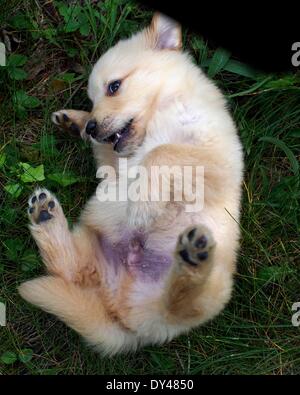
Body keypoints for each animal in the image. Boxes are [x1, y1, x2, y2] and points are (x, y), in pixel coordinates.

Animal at [18, 13, 243, 356]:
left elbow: (162, 153)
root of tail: (132, 327)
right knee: (72, 270)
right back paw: (45, 215)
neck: (159, 113)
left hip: (210, 293)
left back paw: (193, 257)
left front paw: (144, 203)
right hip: (93, 245)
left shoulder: (215, 161)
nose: (92, 126)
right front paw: (76, 122)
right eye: (92, 100)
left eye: (114, 86)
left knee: (181, 303)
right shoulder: (113, 170)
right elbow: (114, 154)